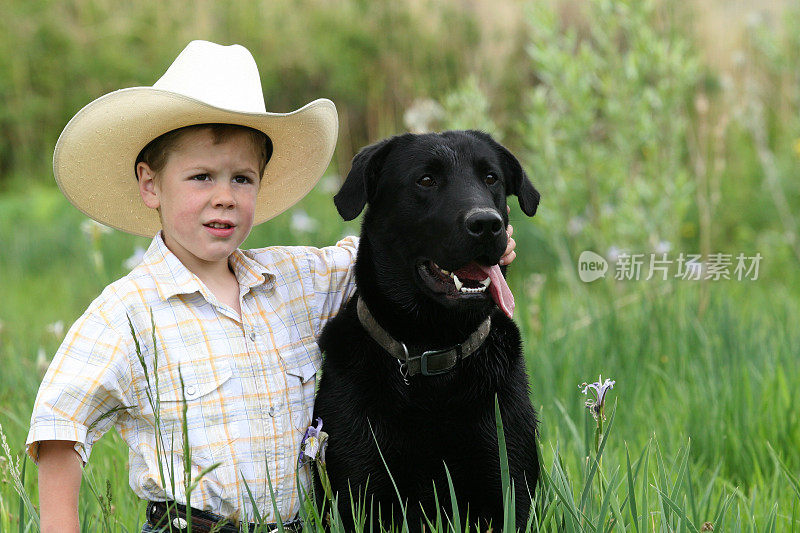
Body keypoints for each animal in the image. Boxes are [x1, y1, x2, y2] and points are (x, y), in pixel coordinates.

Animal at [310, 131, 540, 528]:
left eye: (491, 178)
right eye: (426, 180)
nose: (487, 223)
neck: (435, 347)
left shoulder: (509, 485)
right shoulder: (360, 490)